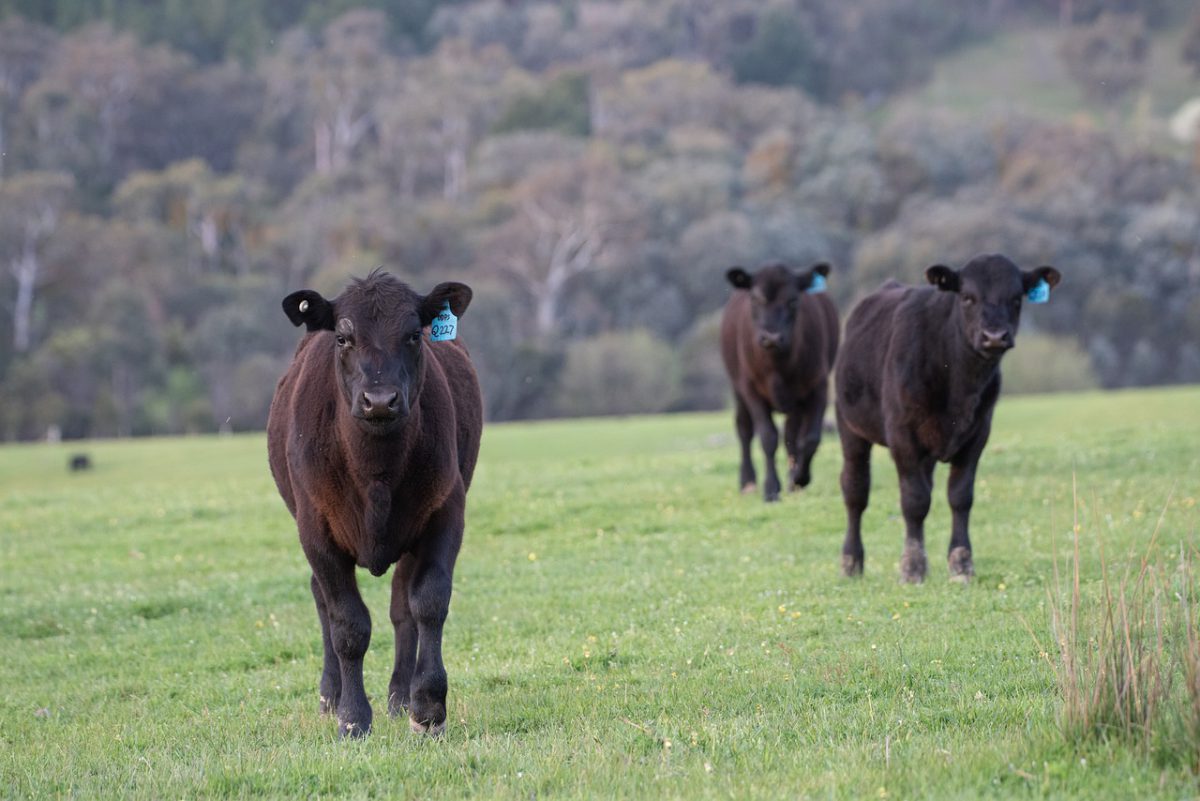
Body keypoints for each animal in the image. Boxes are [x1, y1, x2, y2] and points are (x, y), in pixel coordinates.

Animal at [268, 270, 482, 738]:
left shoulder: (445, 513)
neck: (375, 472)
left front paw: (428, 707)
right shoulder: (316, 530)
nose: (380, 400)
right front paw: (352, 718)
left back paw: (400, 697)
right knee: (322, 599)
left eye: (414, 335)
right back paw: (330, 694)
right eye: (343, 338)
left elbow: (428, 603)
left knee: (402, 608)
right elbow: (348, 623)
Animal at [724, 261, 840, 501]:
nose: (772, 337)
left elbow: (810, 438)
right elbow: (768, 437)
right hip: (737, 390)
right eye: (755, 299)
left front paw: (799, 478)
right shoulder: (750, 388)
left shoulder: (818, 386)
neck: (778, 365)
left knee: (791, 433)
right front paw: (770, 488)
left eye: (793, 300)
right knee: (744, 429)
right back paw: (748, 482)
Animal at [835, 253, 1060, 577]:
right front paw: (912, 566)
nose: (994, 336)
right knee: (855, 491)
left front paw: (961, 562)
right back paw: (851, 561)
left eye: (1016, 298)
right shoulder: (902, 434)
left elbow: (960, 497)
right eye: (967, 297)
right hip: (850, 428)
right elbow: (914, 500)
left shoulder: (978, 433)